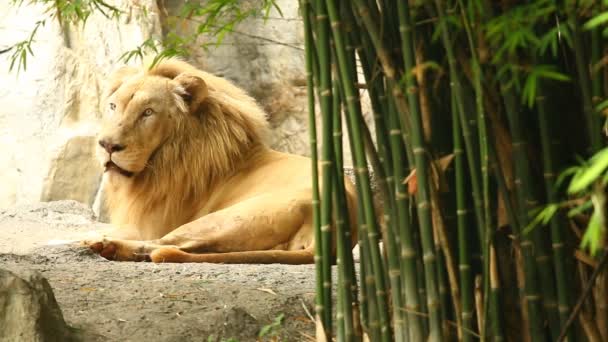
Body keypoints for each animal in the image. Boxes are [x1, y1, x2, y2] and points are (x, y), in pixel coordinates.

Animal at [86, 58, 360, 264]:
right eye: (113, 106)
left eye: (148, 112)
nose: (107, 145)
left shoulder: (149, 224)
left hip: (221, 220)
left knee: (163, 245)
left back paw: (105, 246)